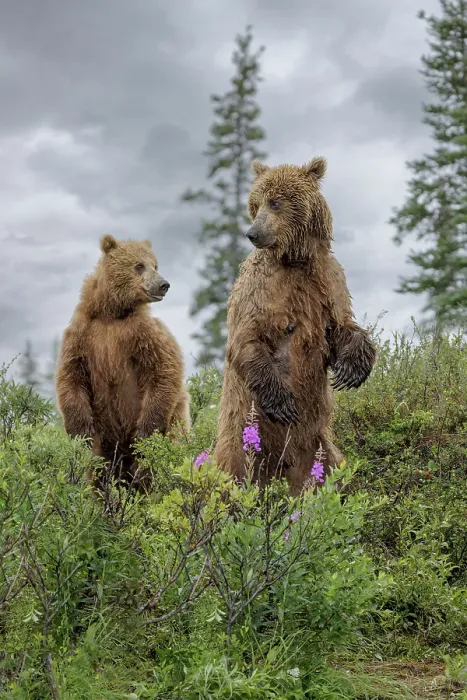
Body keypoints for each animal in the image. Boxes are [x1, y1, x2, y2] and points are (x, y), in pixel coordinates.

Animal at [55, 234, 190, 494]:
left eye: (155, 264)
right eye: (139, 265)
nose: (163, 284)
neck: (112, 312)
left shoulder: (141, 334)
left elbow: (163, 370)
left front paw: (145, 431)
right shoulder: (83, 334)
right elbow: (71, 376)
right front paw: (80, 430)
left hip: (174, 427)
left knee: (152, 468)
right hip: (107, 443)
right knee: (99, 471)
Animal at [214, 156, 376, 496]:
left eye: (276, 201)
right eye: (256, 203)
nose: (253, 233)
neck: (295, 259)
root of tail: (280, 470)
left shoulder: (328, 280)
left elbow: (342, 326)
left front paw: (351, 369)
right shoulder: (260, 288)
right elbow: (247, 338)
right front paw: (283, 403)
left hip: (317, 446)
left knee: (331, 470)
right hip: (241, 435)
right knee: (233, 474)